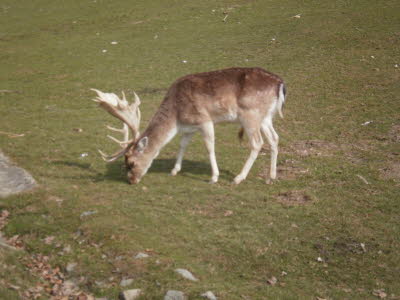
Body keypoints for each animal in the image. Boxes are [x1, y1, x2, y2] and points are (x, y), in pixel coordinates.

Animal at [91, 67, 284, 184]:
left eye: (131, 162)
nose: (131, 180)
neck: (176, 117)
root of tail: (280, 84)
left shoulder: (204, 120)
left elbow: (210, 147)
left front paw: (214, 177)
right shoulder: (189, 127)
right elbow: (182, 145)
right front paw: (174, 170)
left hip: (250, 115)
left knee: (257, 143)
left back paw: (238, 177)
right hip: (265, 117)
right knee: (275, 138)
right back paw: (271, 176)